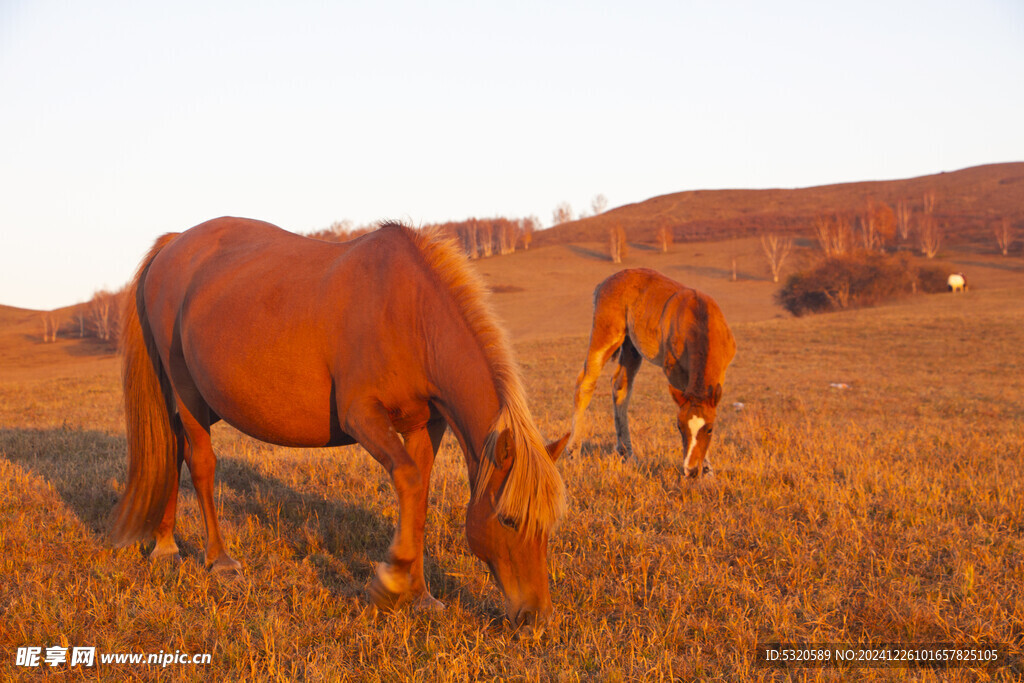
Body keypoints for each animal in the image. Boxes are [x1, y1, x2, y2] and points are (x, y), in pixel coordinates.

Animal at [111, 216, 569, 626]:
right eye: (509, 520)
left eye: (547, 525)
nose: (535, 616)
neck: (409, 314)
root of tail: (172, 244)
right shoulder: (362, 416)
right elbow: (407, 479)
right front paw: (391, 583)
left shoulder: (425, 425)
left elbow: (418, 496)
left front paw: (420, 595)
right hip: (186, 390)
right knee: (201, 463)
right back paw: (219, 561)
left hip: (210, 401)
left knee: (173, 447)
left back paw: (165, 544)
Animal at [569, 266, 737, 475]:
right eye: (679, 427)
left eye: (710, 429)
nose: (690, 470)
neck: (699, 318)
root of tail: (605, 283)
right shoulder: (674, 371)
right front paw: (704, 468)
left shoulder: (720, 373)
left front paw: (708, 470)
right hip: (606, 335)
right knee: (585, 383)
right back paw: (573, 453)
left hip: (631, 345)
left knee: (620, 386)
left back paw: (627, 454)